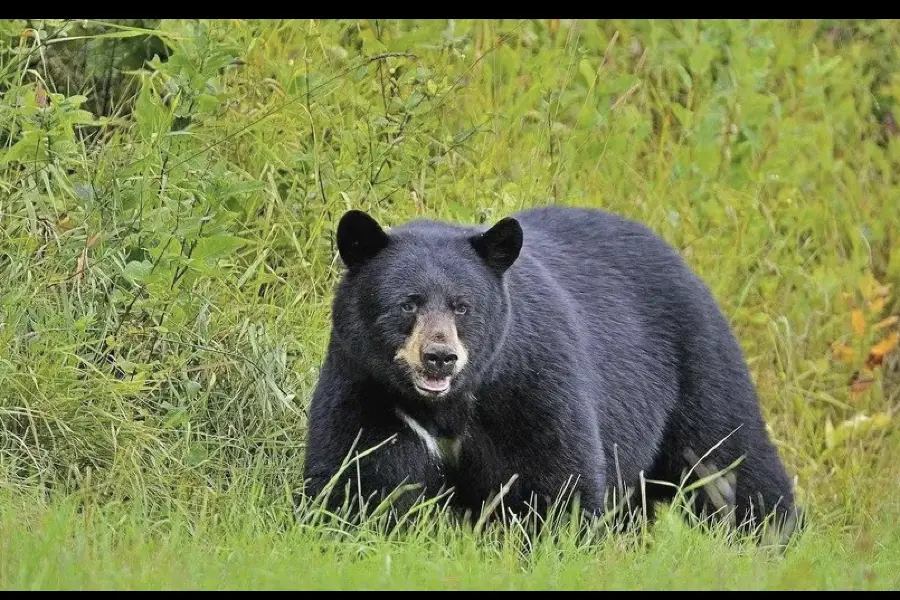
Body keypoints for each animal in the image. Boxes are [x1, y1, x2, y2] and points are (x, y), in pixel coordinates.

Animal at [304, 205, 800, 540]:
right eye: (408, 303)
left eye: (463, 306)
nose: (440, 356)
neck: (447, 403)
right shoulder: (367, 386)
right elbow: (362, 473)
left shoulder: (529, 383)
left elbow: (553, 477)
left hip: (696, 364)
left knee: (728, 455)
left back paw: (769, 536)